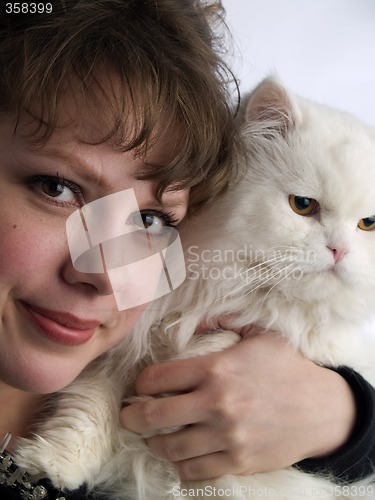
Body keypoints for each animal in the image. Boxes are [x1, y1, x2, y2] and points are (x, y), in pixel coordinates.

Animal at [13, 76, 375, 498]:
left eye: (367, 224)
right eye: (302, 205)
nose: (339, 249)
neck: (229, 289)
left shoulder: (314, 343)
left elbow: (225, 342)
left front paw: (171, 393)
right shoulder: (119, 351)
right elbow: (86, 412)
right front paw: (50, 465)